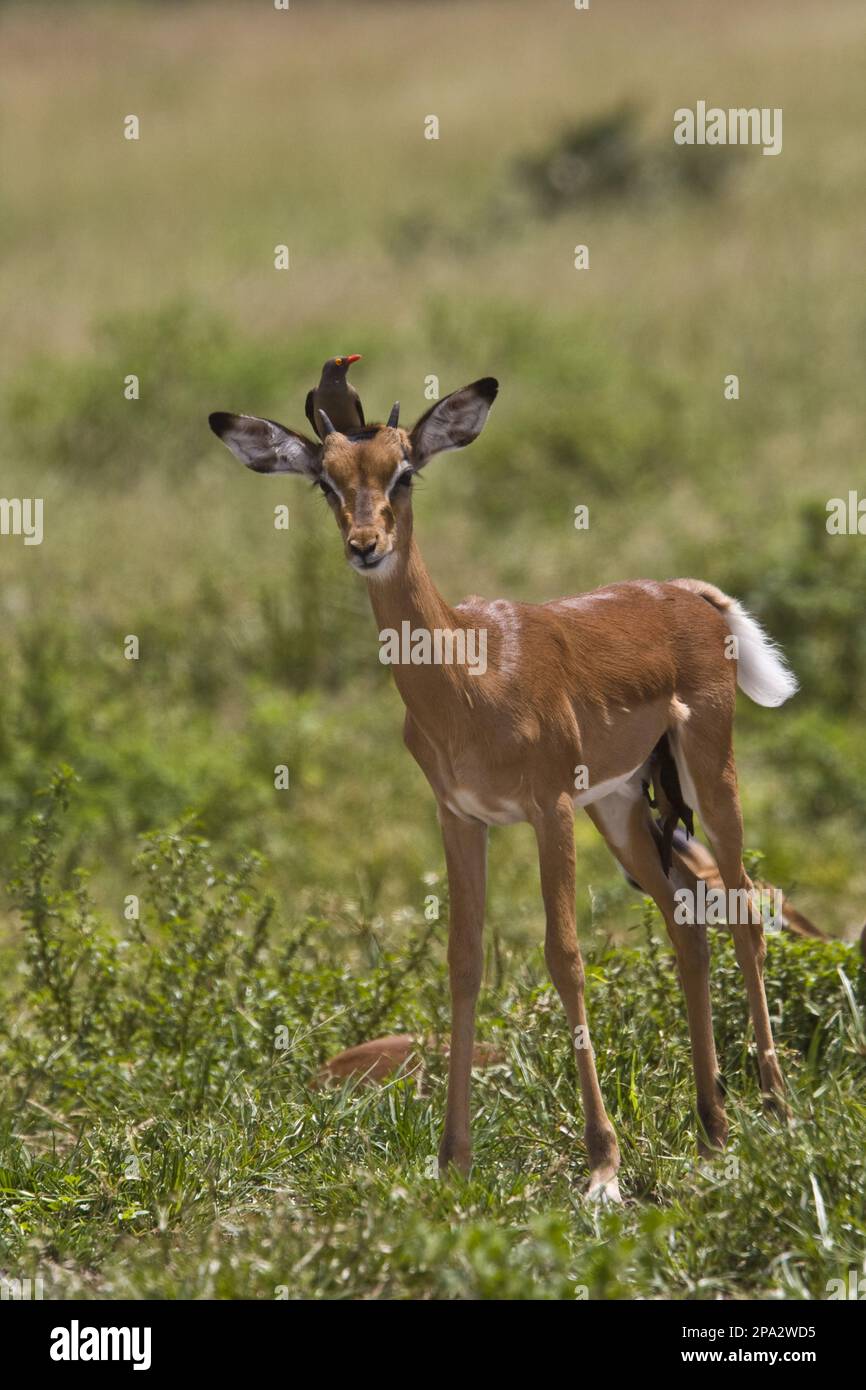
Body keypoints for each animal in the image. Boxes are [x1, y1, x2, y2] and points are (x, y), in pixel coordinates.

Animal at [209, 377, 798, 1201]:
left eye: (404, 472)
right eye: (326, 480)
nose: (365, 545)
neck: (470, 674)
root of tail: (690, 594)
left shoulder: (548, 811)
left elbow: (565, 956)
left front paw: (603, 1167)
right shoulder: (462, 818)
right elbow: (464, 963)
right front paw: (452, 1160)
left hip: (709, 773)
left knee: (745, 909)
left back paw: (777, 1110)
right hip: (620, 807)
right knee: (687, 921)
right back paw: (713, 1128)